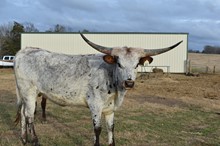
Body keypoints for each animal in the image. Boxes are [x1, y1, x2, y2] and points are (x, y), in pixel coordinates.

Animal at [13, 33, 182, 146]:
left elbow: (111, 128)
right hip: (29, 92)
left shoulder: (110, 109)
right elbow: (98, 129)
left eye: (136, 65)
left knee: (23, 113)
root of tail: (24, 51)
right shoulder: (95, 105)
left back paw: (24, 139)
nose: (129, 83)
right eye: (119, 64)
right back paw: (35, 141)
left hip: (27, 94)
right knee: (30, 116)